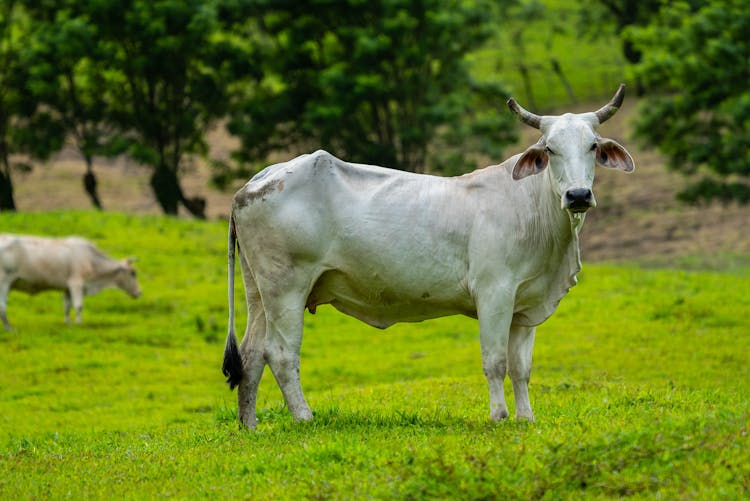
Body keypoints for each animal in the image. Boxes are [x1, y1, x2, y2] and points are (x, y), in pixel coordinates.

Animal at [0, 234, 142, 328]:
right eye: (133, 273)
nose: (140, 293)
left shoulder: (67, 288)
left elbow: (67, 306)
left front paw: (67, 323)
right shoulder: (76, 284)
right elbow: (78, 305)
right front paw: (79, 324)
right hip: (4, 281)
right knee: (2, 305)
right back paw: (9, 328)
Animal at [222, 83, 636, 426]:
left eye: (593, 146)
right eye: (550, 149)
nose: (578, 195)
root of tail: (257, 180)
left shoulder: (526, 305)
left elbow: (521, 368)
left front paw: (526, 418)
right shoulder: (494, 293)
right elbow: (496, 361)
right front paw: (499, 416)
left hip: (260, 291)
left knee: (252, 354)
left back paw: (249, 425)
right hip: (287, 289)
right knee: (280, 354)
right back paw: (304, 418)